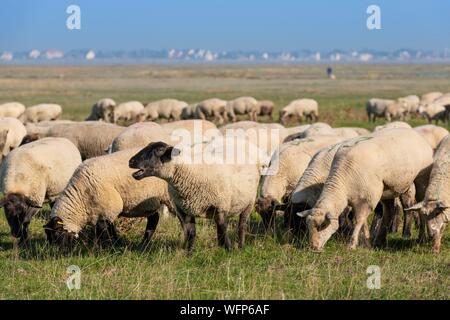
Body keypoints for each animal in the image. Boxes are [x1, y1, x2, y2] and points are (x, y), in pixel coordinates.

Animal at [298, 129, 434, 251]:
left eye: (322, 225)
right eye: (308, 227)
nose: (313, 247)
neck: (342, 185)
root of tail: (415, 133)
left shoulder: (368, 198)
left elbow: (360, 220)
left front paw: (352, 244)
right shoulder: (360, 200)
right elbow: (363, 222)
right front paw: (367, 243)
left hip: (421, 179)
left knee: (419, 206)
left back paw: (421, 238)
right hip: (388, 188)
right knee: (389, 211)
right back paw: (380, 240)